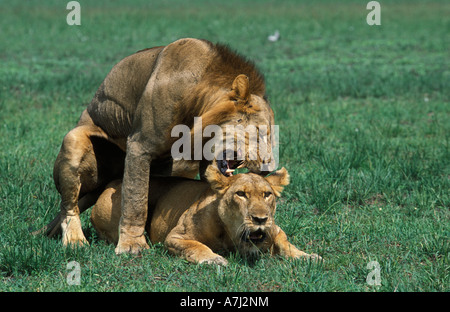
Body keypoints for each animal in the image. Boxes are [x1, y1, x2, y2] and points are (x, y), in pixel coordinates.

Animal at [46, 37, 278, 255]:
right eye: (260, 133)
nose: (268, 169)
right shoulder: (140, 145)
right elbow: (136, 199)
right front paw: (132, 245)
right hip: (74, 141)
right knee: (69, 206)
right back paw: (75, 240)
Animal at [89, 166, 320, 266]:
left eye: (267, 194)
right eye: (241, 194)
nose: (260, 219)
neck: (232, 235)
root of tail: (112, 182)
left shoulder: (275, 229)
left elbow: (285, 243)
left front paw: (307, 256)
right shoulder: (174, 237)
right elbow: (196, 246)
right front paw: (213, 259)